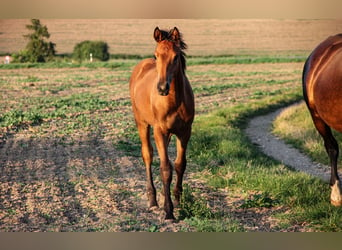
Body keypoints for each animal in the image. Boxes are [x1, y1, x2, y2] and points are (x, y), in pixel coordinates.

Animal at [130, 26, 195, 220]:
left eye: (176, 56)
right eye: (156, 55)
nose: (162, 88)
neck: (175, 101)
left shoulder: (185, 132)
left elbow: (180, 164)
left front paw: (178, 200)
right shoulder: (159, 130)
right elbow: (165, 169)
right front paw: (168, 211)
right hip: (142, 123)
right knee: (148, 155)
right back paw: (152, 200)